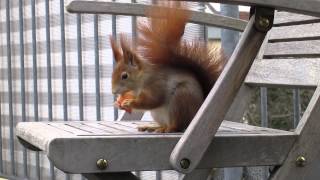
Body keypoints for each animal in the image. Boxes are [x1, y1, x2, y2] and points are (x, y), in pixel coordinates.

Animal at [110, 2, 225, 133]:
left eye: (124, 76)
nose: (113, 91)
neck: (143, 78)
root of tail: (194, 117)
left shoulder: (157, 84)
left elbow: (153, 101)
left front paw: (129, 103)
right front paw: (118, 103)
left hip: (180, 99)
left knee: (176, 126)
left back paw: (167, 129)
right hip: (158, 114)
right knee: (165, 124)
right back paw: (153, 127)